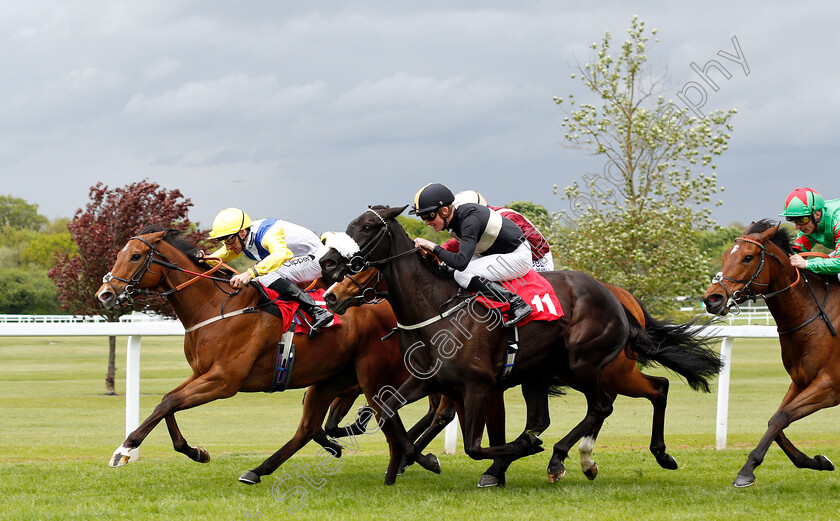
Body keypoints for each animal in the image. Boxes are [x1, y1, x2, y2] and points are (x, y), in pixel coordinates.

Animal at [96, 223, 416, 484]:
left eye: (136, 256)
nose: (105, 294)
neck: (215, 306)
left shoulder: (223, 381)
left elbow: (168, 403)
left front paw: (124, 449)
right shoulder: (201, 373)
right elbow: (167, 402)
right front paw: (196, 451)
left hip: (371, 376)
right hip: (332, 377)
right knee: (312, 427)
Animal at [318, 203, 720, 484]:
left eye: (367, 227)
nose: (328, 265)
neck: (436, 306)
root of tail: (615, 296)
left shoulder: (479, 385)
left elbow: (474, 445)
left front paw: (515, 453)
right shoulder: (427, 379)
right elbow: (388, 410)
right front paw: (424, 460)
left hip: (586, 364)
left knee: (608, 404)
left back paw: (562, 457)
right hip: (550, 371)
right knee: (623, 397)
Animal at [704, 217, 840, 486]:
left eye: (748, 257)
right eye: (725, 256)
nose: (712, 299)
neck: (814, 318)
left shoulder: (830, 386)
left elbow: (780, 417)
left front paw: (746, 471)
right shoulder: (800, 381)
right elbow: (776, 421)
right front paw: (818, 461)